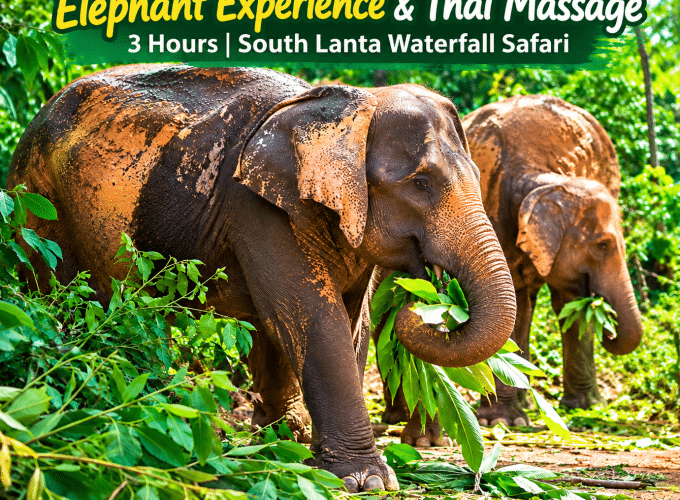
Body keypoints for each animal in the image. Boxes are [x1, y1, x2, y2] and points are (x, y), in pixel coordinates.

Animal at [8, 65, 517, 492]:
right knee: (68, 297)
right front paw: (366, 481)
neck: (349, 107)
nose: (427, 305)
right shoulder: (256, 208)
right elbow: (314, 315)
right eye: (421, 183)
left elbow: (348, 323)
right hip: (39, 206)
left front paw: (303, 452)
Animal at [378, 94, 643, 438]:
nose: (610, 326)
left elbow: (568, 302)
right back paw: (396, 417)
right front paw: (502, 422)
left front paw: (584, 407)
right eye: (603, 245)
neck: (546, 177)